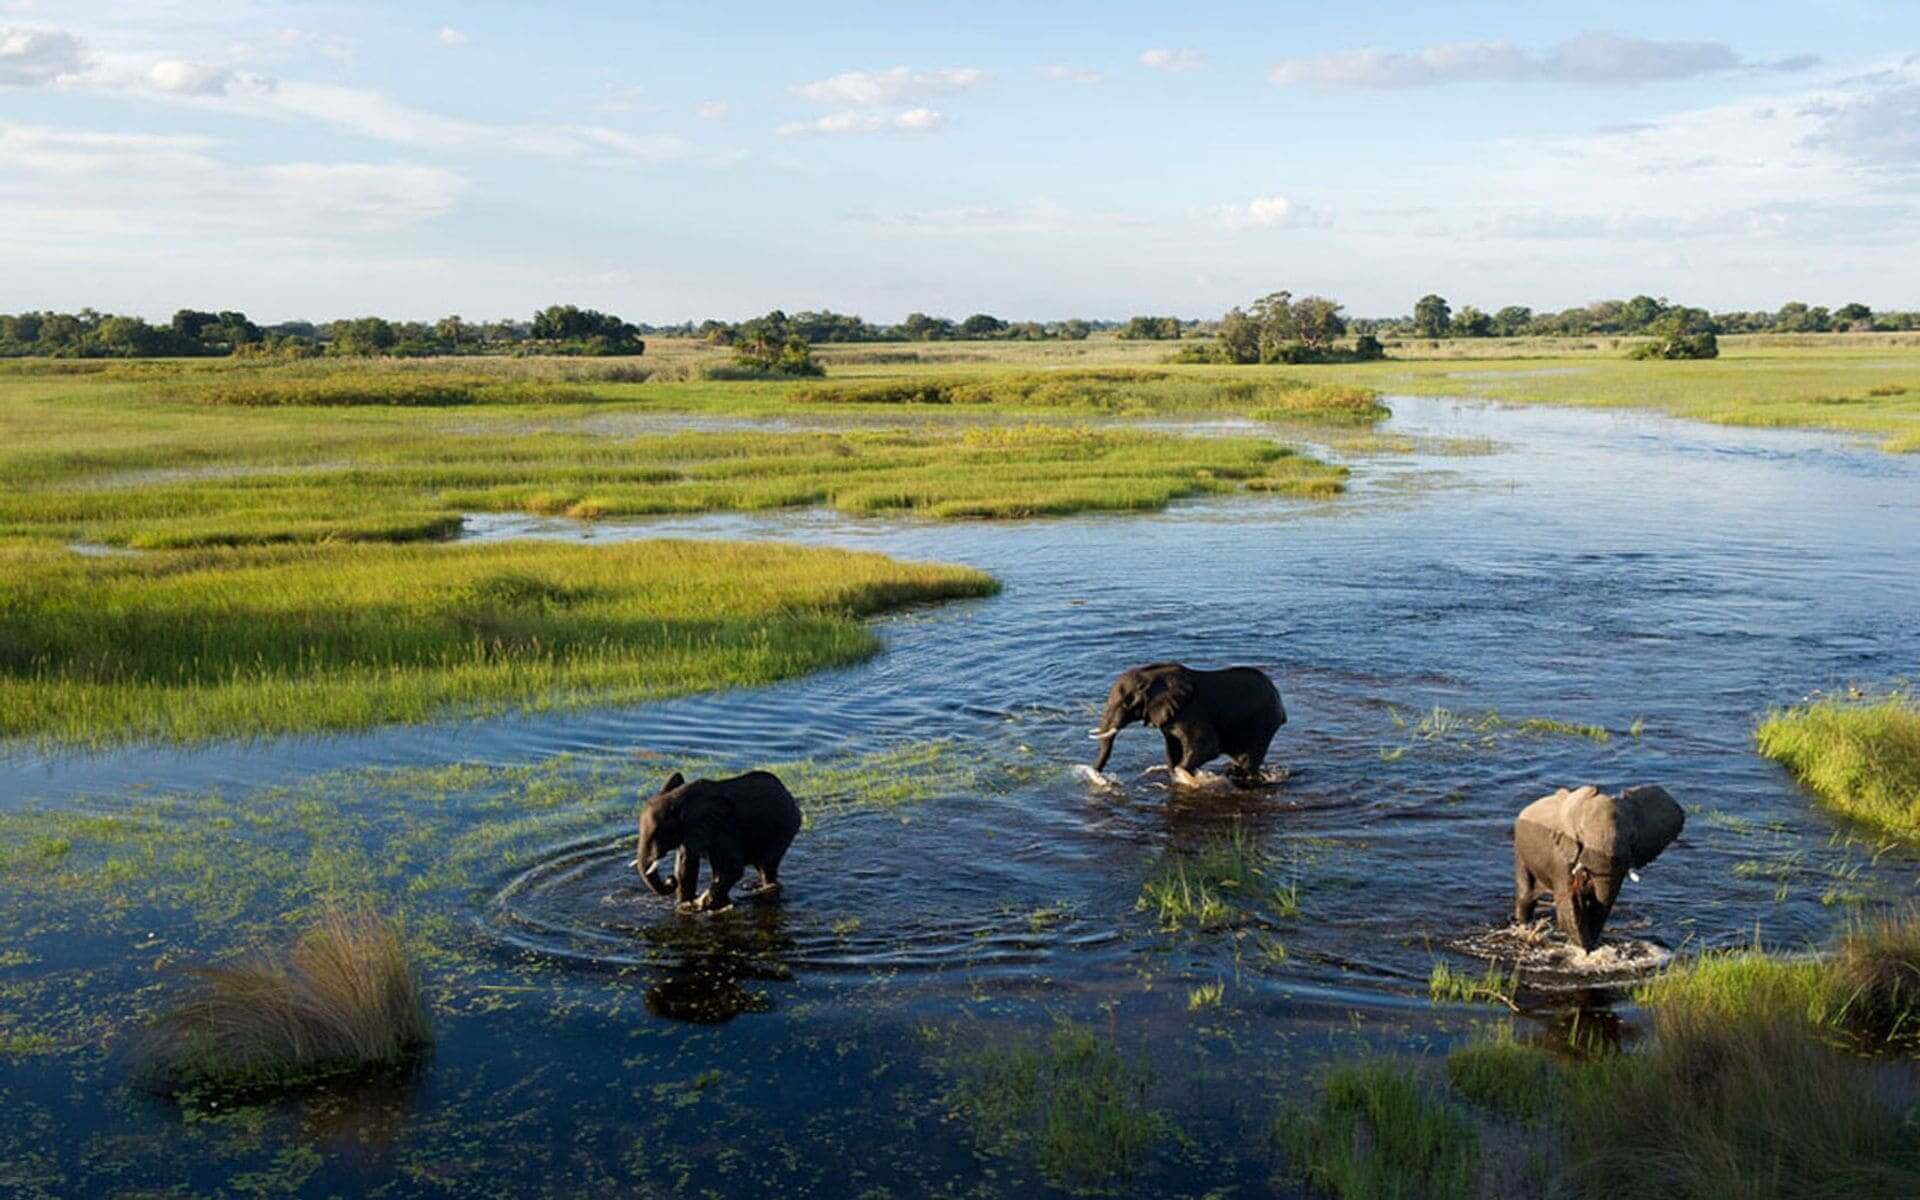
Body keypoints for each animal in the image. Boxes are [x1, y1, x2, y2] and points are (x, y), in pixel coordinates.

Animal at [637, 771, 802, 913]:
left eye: (659, 832)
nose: (669, 879)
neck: (678, 799)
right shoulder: (690, 831)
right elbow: (685, 867)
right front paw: (685, 905)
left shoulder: (725, 830)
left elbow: (733, 868)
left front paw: (702, 904)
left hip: (785, 828)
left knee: (767, 865)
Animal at [1090, 660, 1282, 783]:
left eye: (1128, 702)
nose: (1099, 777)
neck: (1150, 676)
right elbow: (1173, 749)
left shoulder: (1190, 708)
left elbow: (1207, 746)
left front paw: (1185, 777)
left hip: (1265, 721)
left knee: (1250, 757)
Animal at [1512, 783, 1681, 948]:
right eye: (1581, 834)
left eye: (1632, 836)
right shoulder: (1562, 858)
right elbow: (1569, 905)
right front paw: (1585, 950)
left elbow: (1603, 902)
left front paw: (1591, 947)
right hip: (1520, 849)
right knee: (1526, 895)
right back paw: (1524, 927)